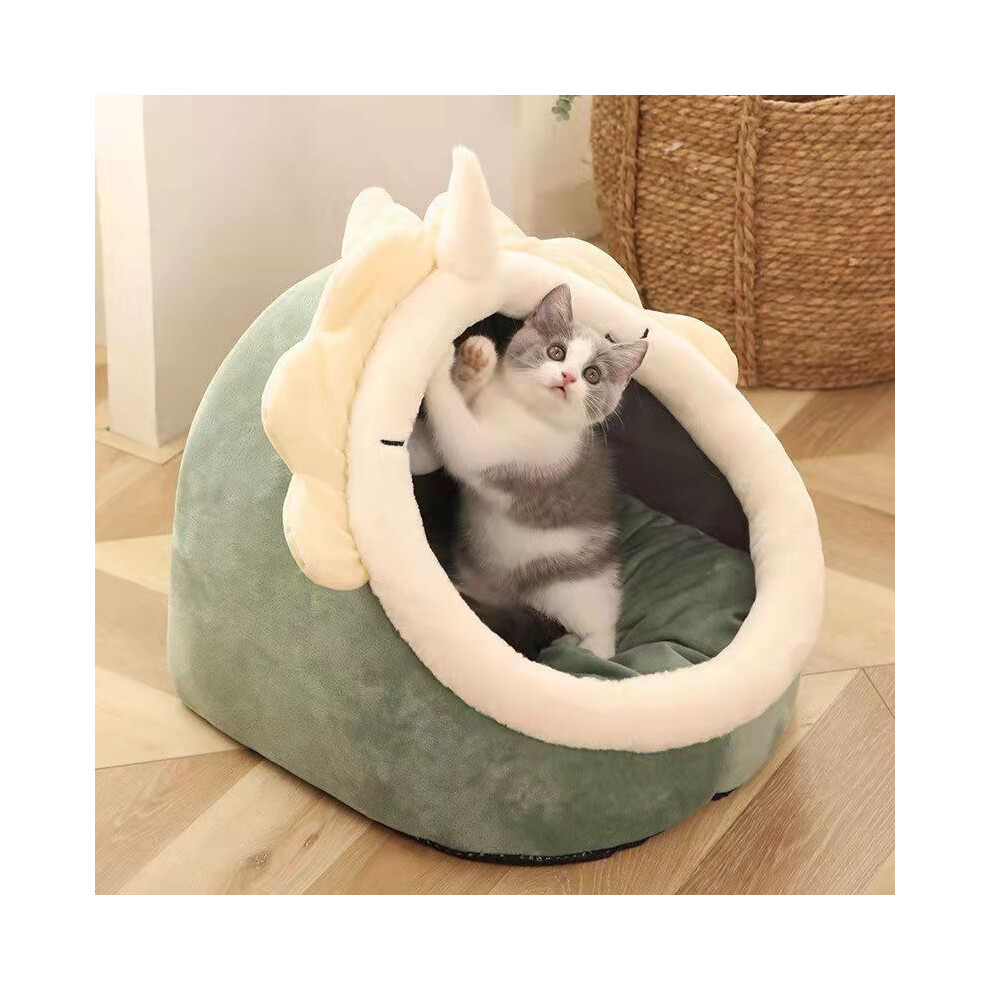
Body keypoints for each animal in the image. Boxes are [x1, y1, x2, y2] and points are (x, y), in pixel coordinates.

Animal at [423, 283, 648, 659]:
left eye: (593, 375)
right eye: (556, 352)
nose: (568, 377)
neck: (521, 408)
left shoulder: (506, 454)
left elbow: (459, 433)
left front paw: (439, 360)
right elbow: (429, 451)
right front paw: (472, 367)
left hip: (574, 588)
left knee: (599, 623)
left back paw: (593, 651)